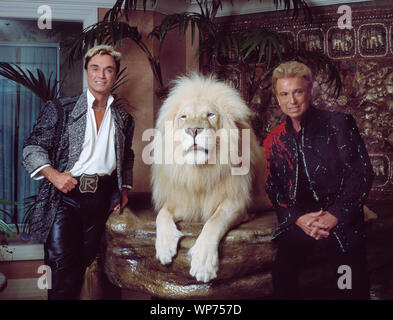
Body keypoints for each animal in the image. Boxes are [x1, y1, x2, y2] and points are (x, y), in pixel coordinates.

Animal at [151, 73, 270, 282]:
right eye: (184, 117)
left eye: (210, 115)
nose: (193, 130)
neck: (200, 172)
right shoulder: (184, 202)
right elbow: (162, 214)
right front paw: (164, 247)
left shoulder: (236, 203)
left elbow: (214, 222)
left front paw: (203, 263)